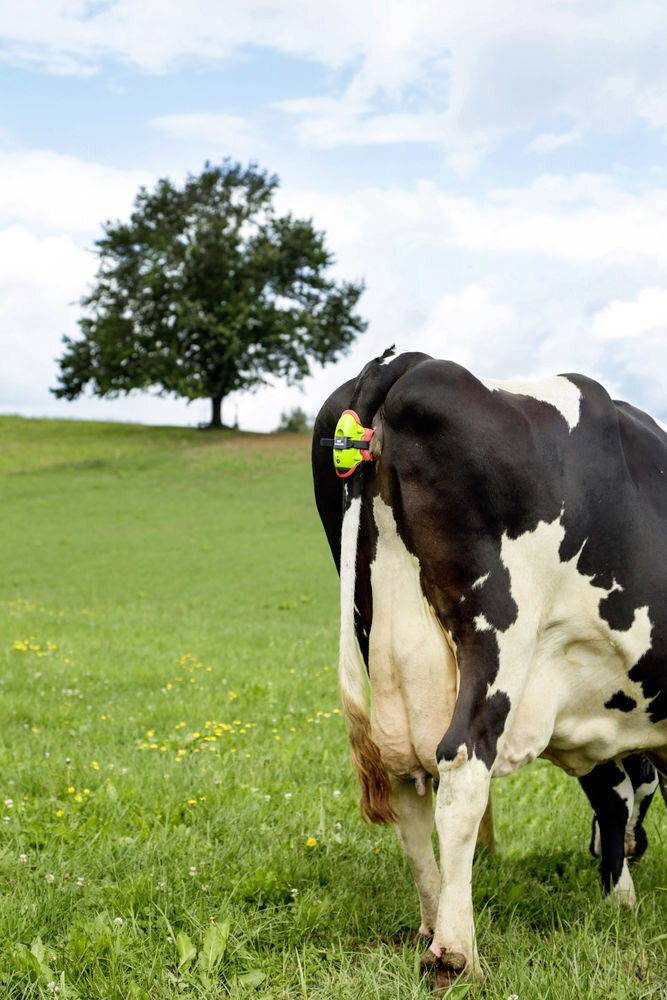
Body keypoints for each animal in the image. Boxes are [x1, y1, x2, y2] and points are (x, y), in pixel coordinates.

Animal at [312, 348, 667, 987]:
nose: (637, 848)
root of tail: (405, 361)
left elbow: (610, 793)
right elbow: (627, 792)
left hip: (380, 637)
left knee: (407, 784)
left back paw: (431, 923)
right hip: (497, 641)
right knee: (461, 766)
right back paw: (457, 953)